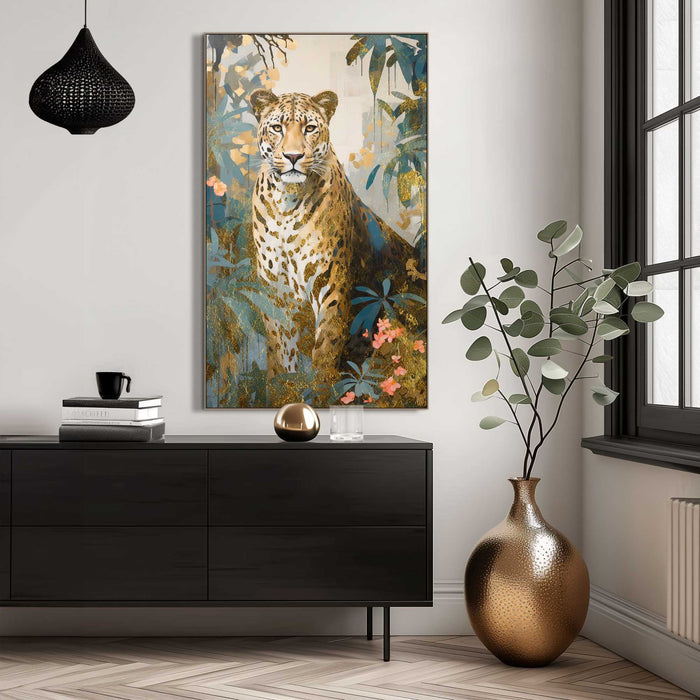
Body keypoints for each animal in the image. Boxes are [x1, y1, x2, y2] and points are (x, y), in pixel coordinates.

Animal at [248, 88, 423, 397]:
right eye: (277, 128)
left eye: (309, 128)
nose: (293, 156)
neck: (286, 202)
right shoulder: (274, 290)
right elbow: (280, 350)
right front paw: (283, 388)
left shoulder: (330, 282)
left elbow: (326, 349)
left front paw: (318, 392)